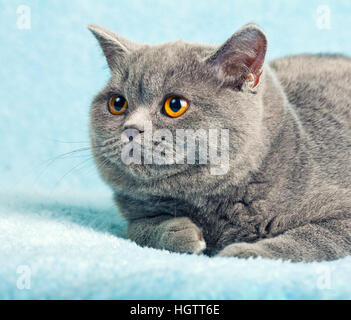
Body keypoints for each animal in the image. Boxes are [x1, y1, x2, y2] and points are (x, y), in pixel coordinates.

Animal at [88, 23, 351, 262]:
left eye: (175, 105)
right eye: (117, 103)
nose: (131, 128)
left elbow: (309, 238)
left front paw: (242, 252)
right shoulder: (136, 215)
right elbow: (139, 229)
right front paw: (180, 232)